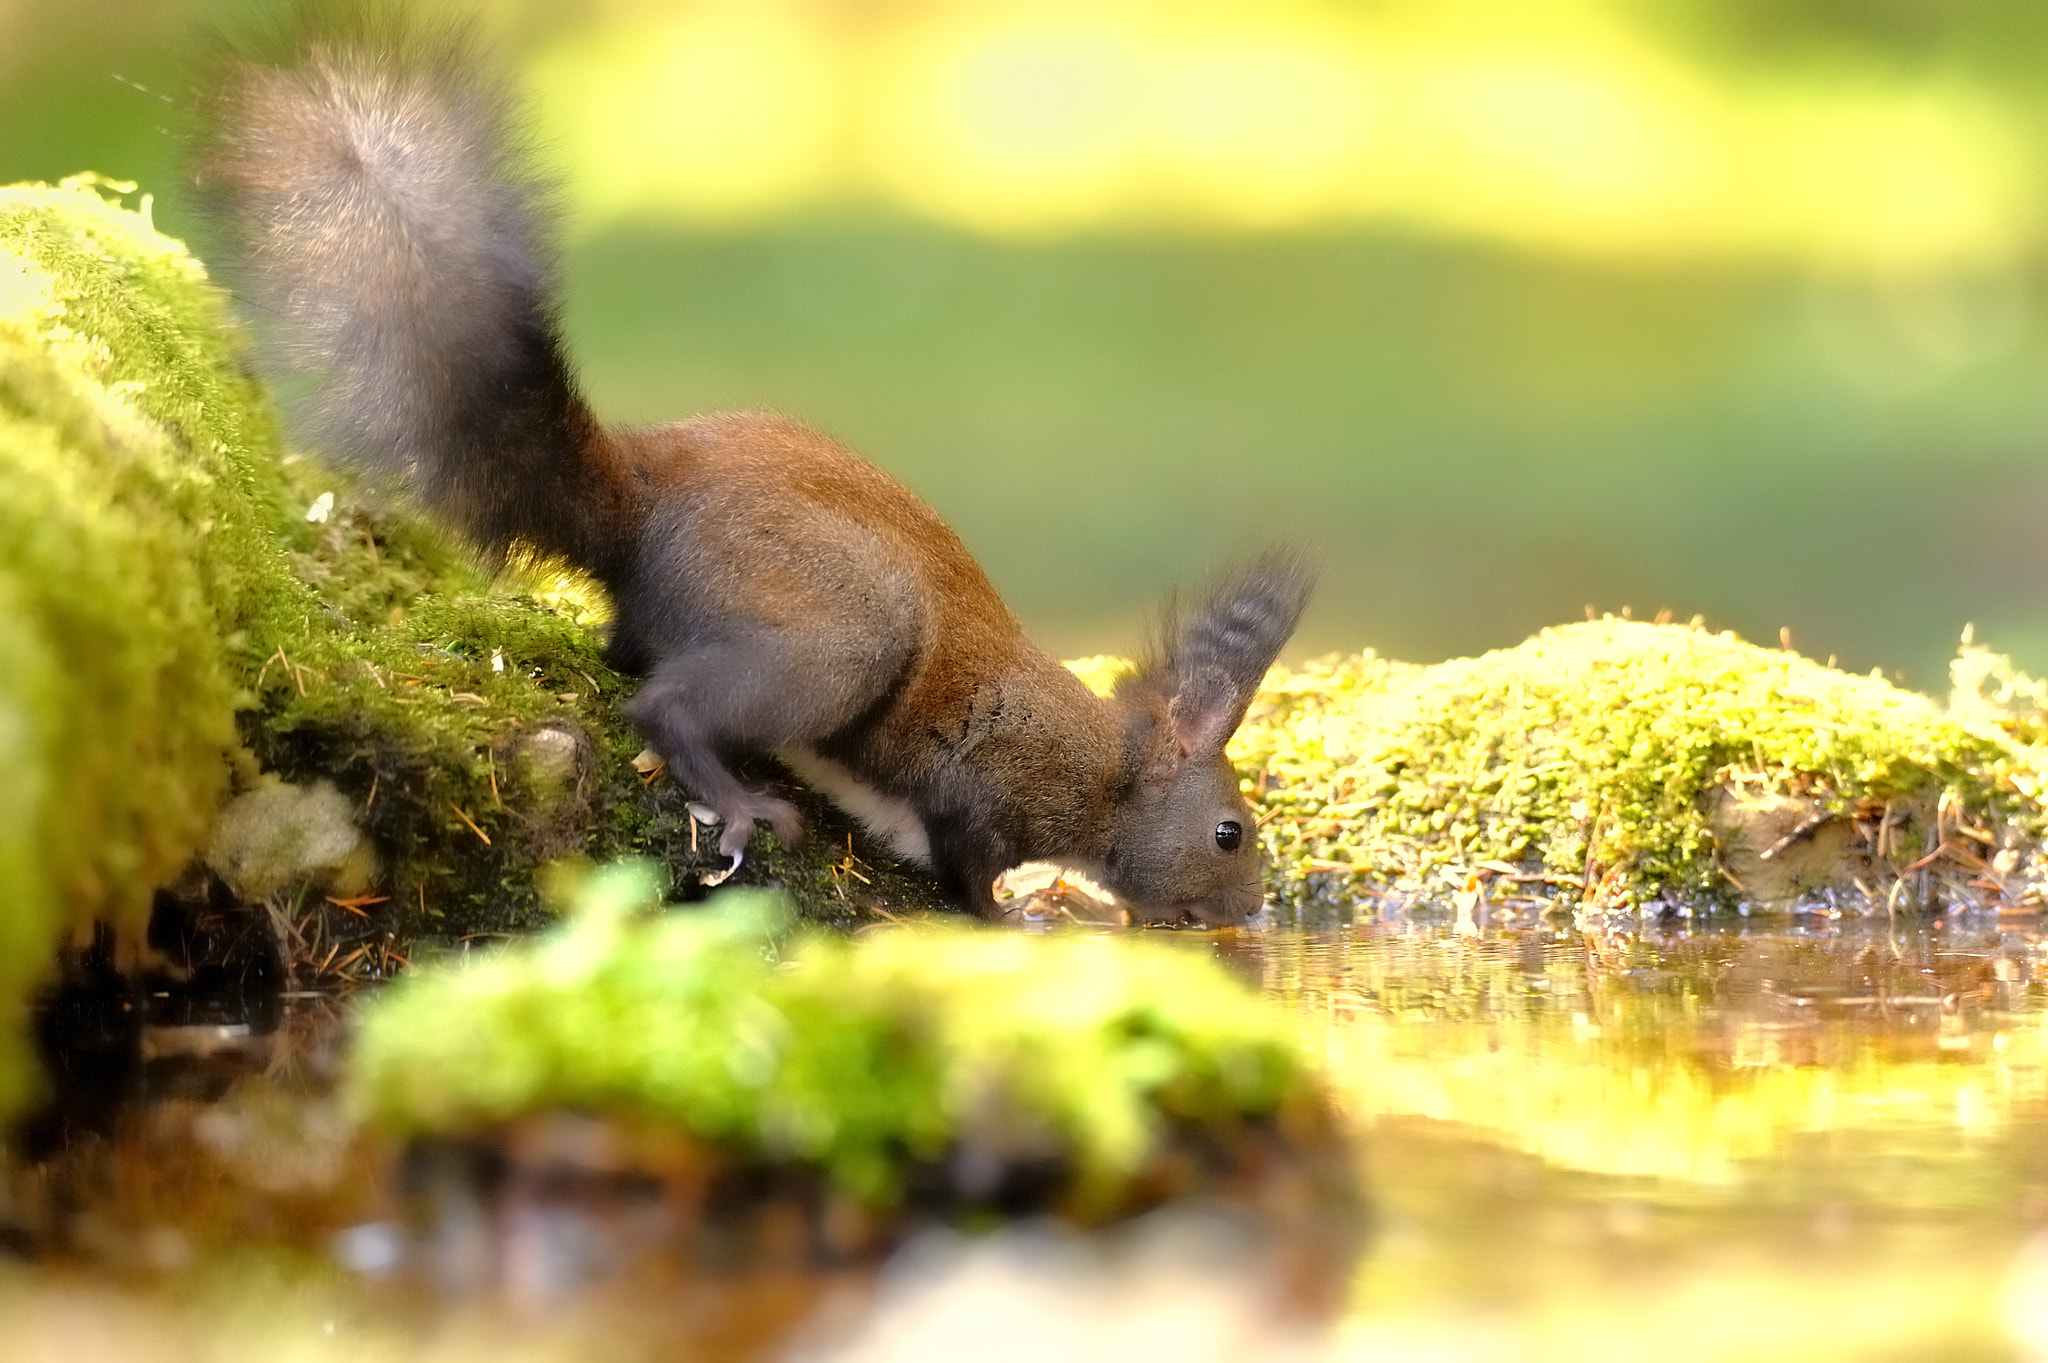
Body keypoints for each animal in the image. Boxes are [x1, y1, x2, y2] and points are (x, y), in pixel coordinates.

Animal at [192, 13, 1314, 925]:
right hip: (838, 633)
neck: (1103, 769)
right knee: (666, 706)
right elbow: (967, 868)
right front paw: (1017, 916)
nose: (1252, 915)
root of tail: (642, 503)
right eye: (1230, 833)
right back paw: (736, 803)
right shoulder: (990, 788)